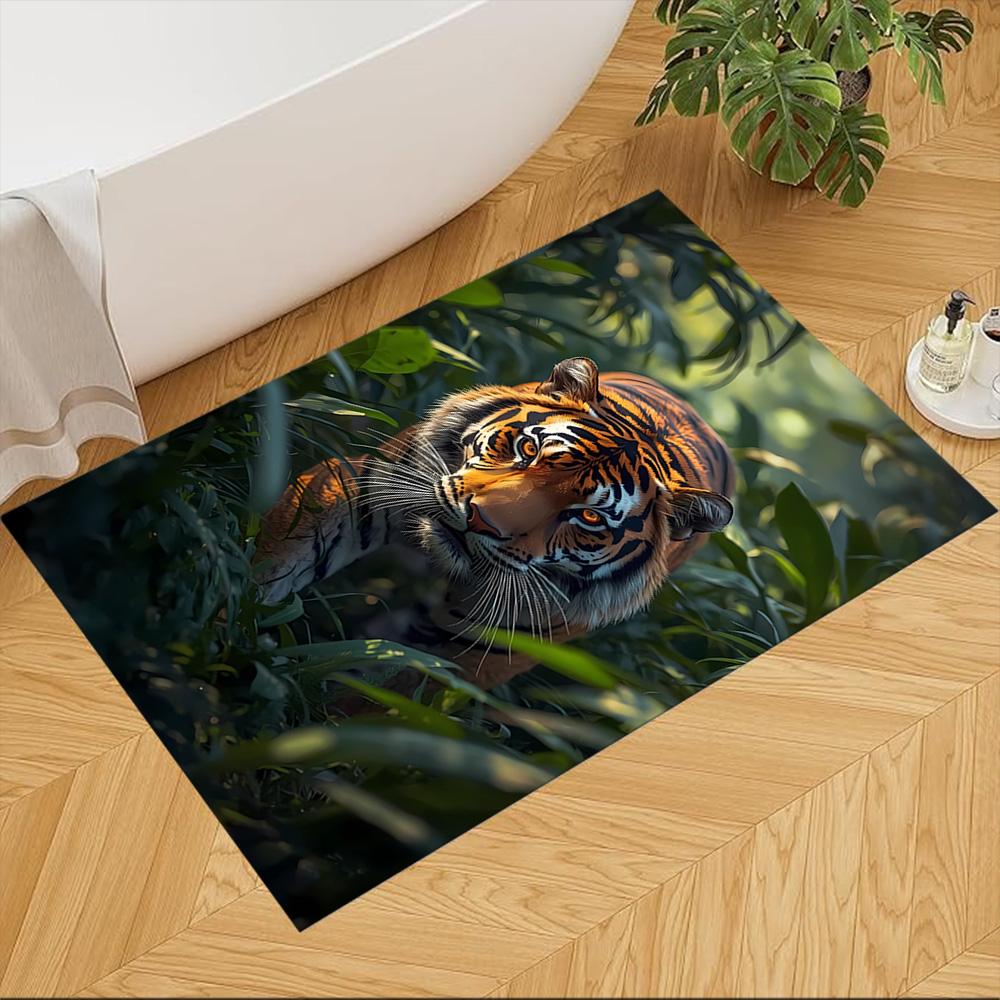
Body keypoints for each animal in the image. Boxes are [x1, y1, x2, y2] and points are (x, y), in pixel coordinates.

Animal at [256, 357, 734, 689]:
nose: (479, 521)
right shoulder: (366, 484)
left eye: (588, 516)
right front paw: (241, 609)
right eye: (529, 449)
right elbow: (284, 553)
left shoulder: (481, 647)